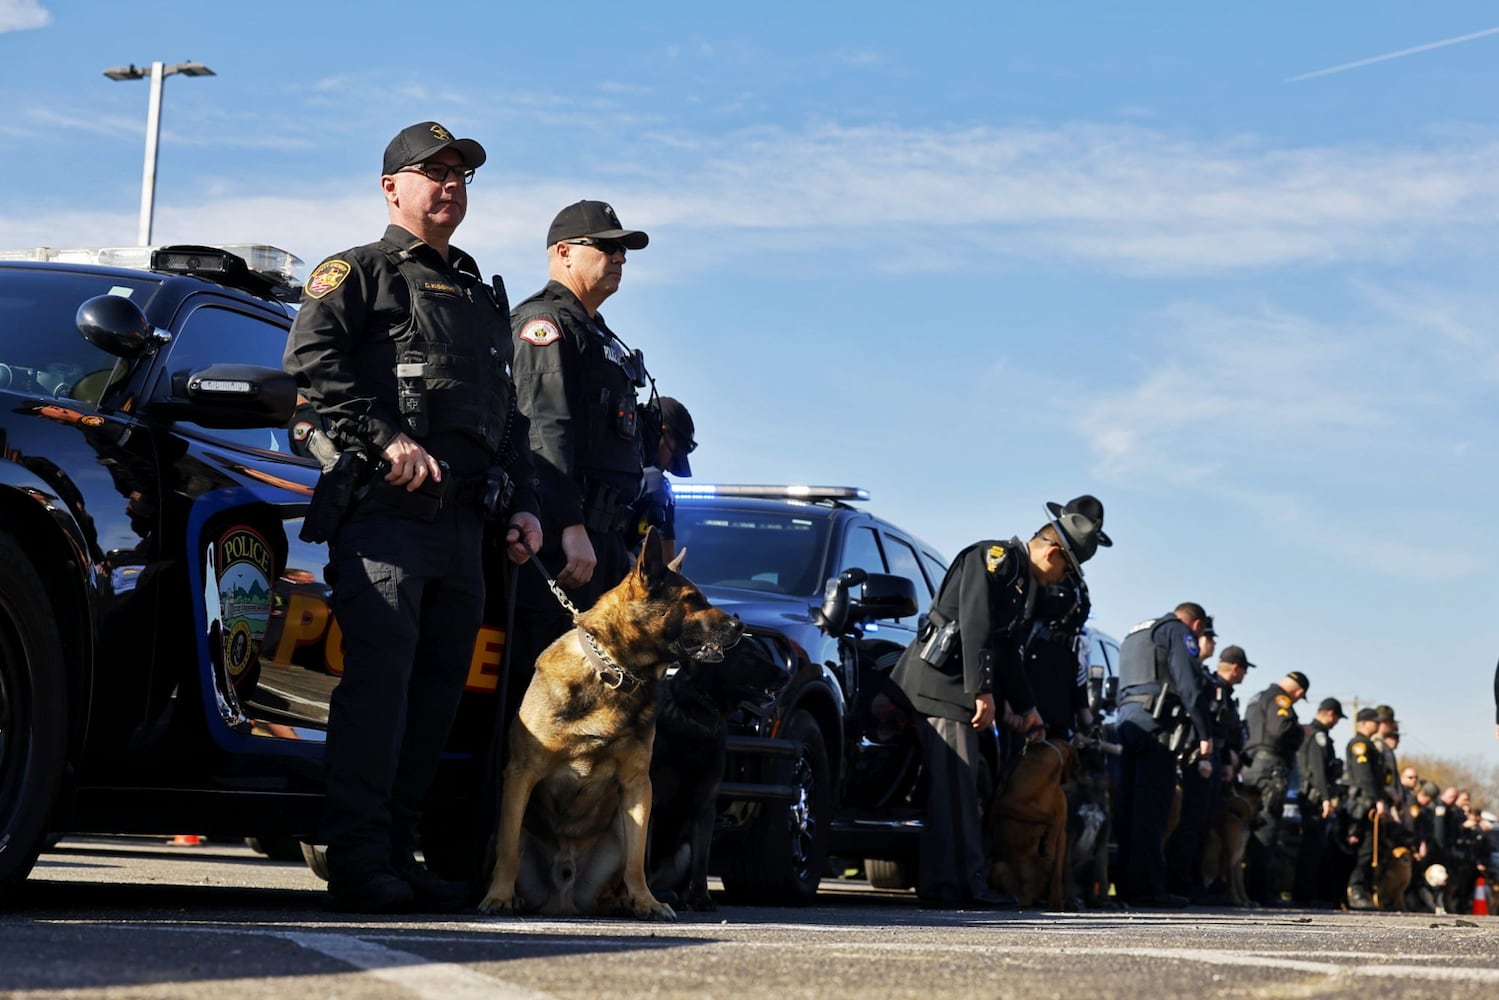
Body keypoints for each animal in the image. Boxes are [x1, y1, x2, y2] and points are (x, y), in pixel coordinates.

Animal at [476, 530, 740, 923]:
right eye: (692, 600)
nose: (742, 626)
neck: (614, 672)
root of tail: (562, 897)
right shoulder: (521, 774)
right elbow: (508, 849)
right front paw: (499, 897)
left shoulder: (638, 785)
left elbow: (637, 860)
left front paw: (646, 901)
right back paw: (518, 898)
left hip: (614, 836)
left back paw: (622, 902)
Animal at [647, 638, 791, 911]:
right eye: (748, 656)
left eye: (763, 653)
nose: (786, 676)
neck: (698, 715)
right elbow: (643, 855)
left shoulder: (705, 806)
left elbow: (701, 861)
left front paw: (702, 899)